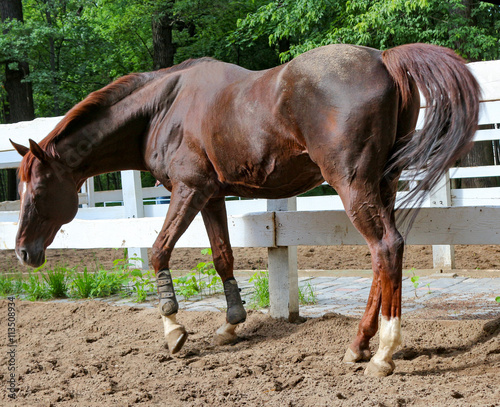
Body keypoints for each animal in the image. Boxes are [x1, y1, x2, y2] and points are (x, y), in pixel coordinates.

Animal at [12, 43, 480, 378]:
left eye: (37, 189)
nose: (21, 252)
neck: (165, 106)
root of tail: (384, 59)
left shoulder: (188, 190)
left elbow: (159, 252)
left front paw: (174, 331)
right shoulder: (211, 196)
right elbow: (223, 257)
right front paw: (229, 324)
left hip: (353, 184)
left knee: (386, 247)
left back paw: (383, 353)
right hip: (383, 185)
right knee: (384, 257)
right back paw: (358, 347)